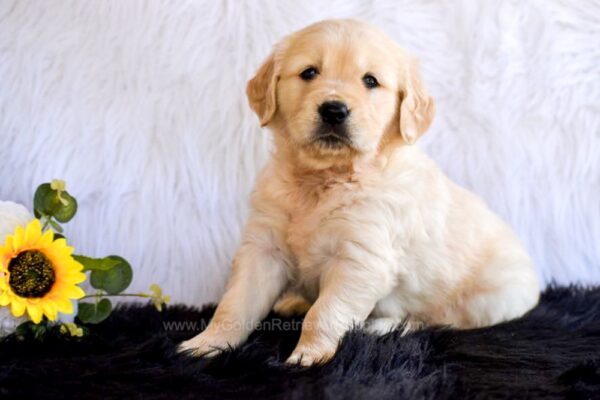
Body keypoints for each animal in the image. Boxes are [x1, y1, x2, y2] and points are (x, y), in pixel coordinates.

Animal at [178, 20, 540, 368]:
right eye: (309, 72)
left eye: (370, 81)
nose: (334, 110)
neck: (324, 179)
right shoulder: (263, 247)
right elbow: (235, 304)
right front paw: (207, 343)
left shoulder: (360, 259)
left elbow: (324, 312)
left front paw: (308, 354)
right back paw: (294, 301)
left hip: (488, 299)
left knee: (436, 320)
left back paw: (383, 326)